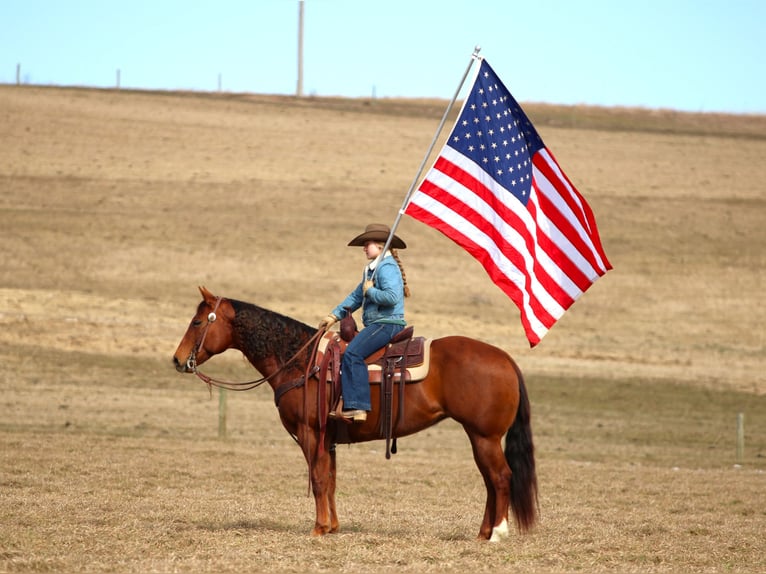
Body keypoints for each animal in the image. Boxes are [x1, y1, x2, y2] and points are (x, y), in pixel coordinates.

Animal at [172, 286, 537, 541]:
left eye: (196, 321)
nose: (177, 360)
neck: (299, 361)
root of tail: (506, 359)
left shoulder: (310, 432)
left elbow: (319, 478)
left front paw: (319, 528)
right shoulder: (329, 437)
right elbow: (331, 479)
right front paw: (332, 526)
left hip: (484, 436)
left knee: (500, 478)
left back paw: (497, 533)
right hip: (479, 437)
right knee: (490, 481)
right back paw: (483, 533)